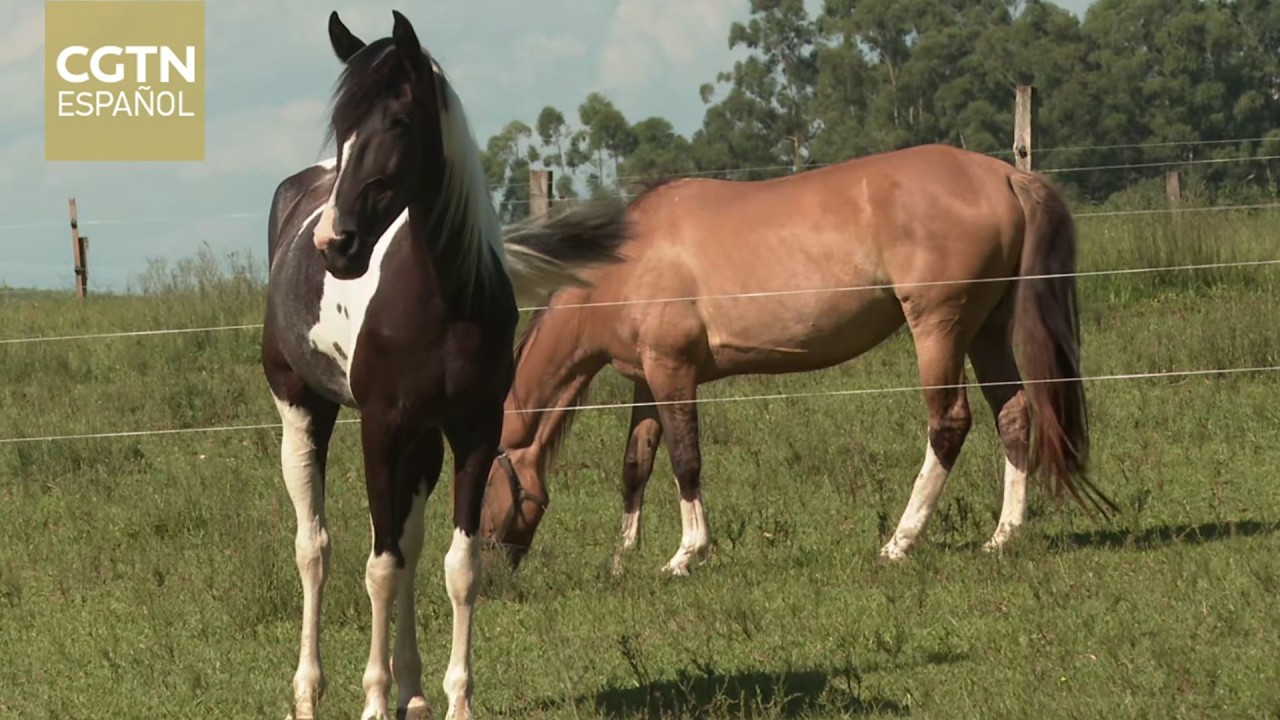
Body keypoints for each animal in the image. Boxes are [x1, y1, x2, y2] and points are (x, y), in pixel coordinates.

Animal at [261, 12, 629, 720]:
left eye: (400, 119)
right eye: (343, 124)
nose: (335, 243)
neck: (438, 298)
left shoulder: (472, 431)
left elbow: (456, 567)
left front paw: (450, 698)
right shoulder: (380, 427)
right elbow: (377, 567)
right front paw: (373, 702)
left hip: (422, 443)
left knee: (408, 542)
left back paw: (414, 689)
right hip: (302, 409)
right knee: (314, 548)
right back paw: (309, 693)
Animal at [477, 143, 1118, 576]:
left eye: (480, 484)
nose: (485, 566)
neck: (624, 267)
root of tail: (1006, 174)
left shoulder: (674, 373)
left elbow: (686, 461)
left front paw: (685, 554)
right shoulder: (647, 381)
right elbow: (637, 464)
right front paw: (623, 556)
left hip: (940, 326)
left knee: (949, 424)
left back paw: (899, 542)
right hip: (988, 328)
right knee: (1014, 414)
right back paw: (1002, 537)